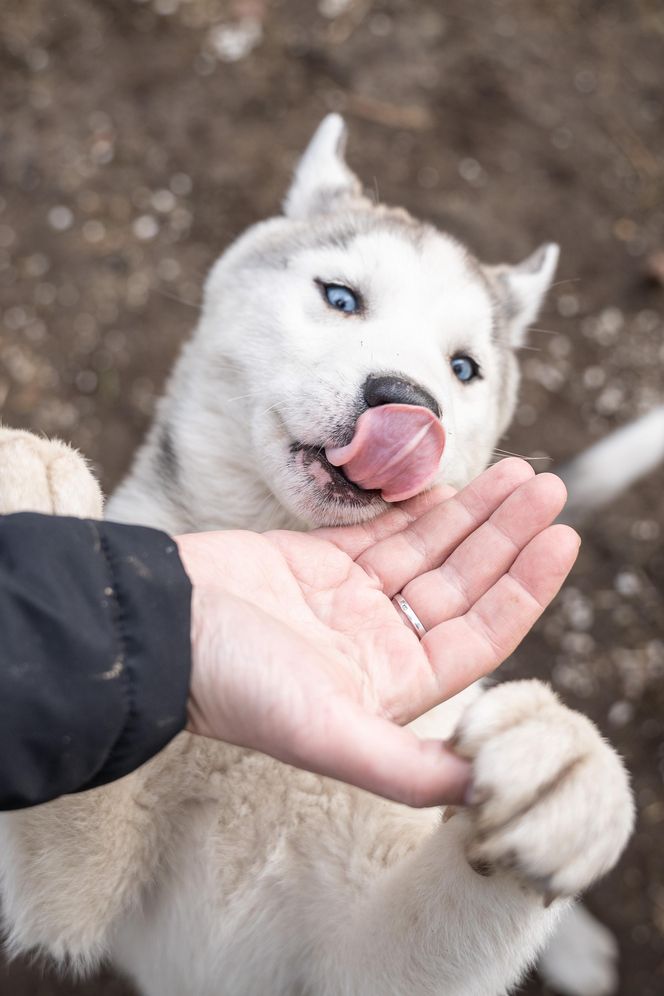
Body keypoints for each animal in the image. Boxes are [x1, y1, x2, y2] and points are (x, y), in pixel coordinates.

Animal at [0, 118, 640, 996]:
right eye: (340, 297)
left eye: (463, 368)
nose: (407, 400)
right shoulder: (93, 898)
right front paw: (42, 509)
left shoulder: (357, 953)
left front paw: (567, 777)